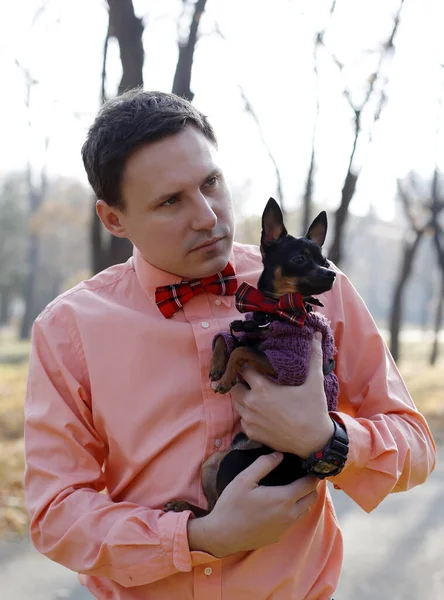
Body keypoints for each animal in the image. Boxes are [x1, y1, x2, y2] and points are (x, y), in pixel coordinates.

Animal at [165, 199, 338, 516]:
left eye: (326, 261)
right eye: (299, 259)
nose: (331, 274)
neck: (274, 311)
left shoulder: (287, 366)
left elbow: (243, 350)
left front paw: (225, 379)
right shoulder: (247, 330)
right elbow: (227, 336)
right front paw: (217, 365)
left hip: (231, 462)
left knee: (220, 508)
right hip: (213, 461)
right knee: (212, 510)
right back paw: (183, 505)